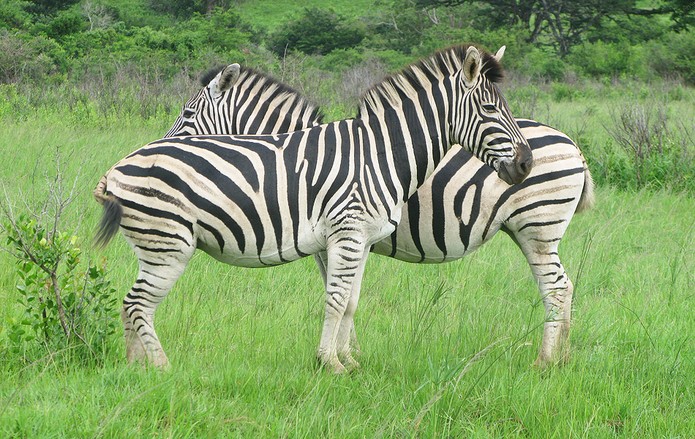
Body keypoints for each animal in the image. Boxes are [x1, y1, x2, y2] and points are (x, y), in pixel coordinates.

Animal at [94, 45, 533, 372]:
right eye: (491, 111)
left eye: (186, 114)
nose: (526, 164)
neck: (380, 154)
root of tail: (115, 170)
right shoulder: (346, 233)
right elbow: (335, 299)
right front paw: (331, 363)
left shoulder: (359, 239)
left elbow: (350, 300)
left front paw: (348, 361)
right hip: (167, 245)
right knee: (136, 304)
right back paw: (161, 369)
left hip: (156, 245)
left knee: (133, 306)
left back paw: (136, 369)